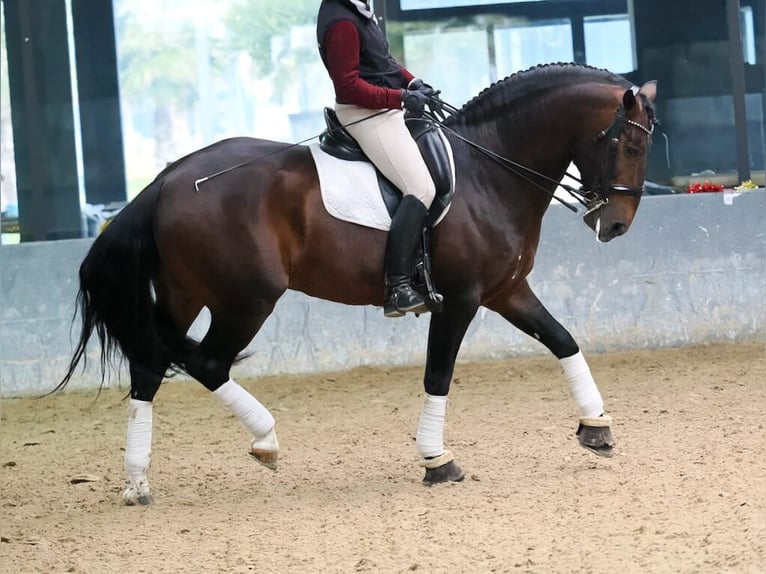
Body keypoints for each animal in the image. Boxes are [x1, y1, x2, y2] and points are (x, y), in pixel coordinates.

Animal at [58, 63, 660, 506]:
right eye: (631, 147)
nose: (617, 225)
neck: (490, 172)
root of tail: (167, 179)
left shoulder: (505, 291)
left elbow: (563, 340)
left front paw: (596, 427)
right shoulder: (460, 300)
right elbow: (438, 374)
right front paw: (437, 461)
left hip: (186, 293)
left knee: (149, 366)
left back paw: (137, 482)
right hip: (246, 298)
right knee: (206, 364)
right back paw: (266, 441)